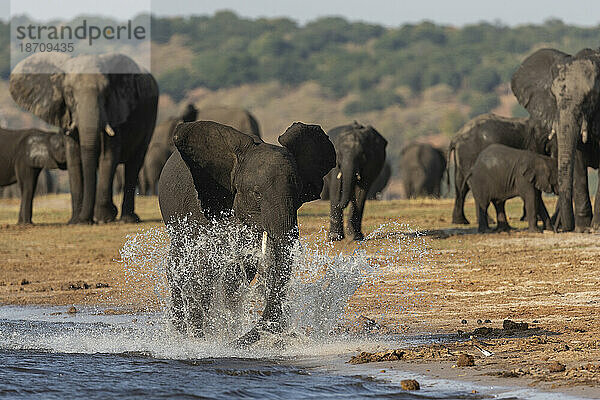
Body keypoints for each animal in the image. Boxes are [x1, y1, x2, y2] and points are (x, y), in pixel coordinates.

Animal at [10, 52, 159, 225]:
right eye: (69, 94)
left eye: (106, 93)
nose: (87, 219)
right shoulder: (66, 116)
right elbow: (74, 159)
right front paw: (77, 221)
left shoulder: (115, 111)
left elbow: (108, 157)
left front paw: (103, 218)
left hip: (150, 118)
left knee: (134, 164)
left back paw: (127, 219)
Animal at [157, 120, 336, 346]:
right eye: (257, 194)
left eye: (297, 193)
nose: (231, 343)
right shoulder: (204, 206)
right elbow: (203, 270)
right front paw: (200, 341)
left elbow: (239, 275)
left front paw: (224, 336)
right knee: (178, 268)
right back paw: (183, 335)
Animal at [508, 47, 600, 231]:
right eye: (553, 96)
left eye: (590, 97)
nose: (562, 229)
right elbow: (578, 162)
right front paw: (582, 229)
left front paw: (595, 227)